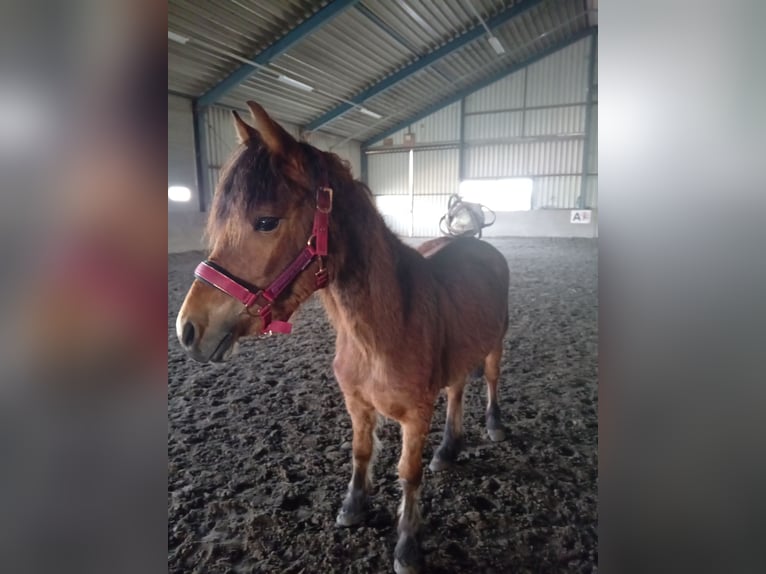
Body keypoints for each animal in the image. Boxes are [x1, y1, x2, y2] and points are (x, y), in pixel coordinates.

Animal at [176, 101, 510, 574]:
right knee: (458, 389)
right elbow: (360, 453)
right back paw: (448, 450)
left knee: (492, 379)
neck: (381, 333)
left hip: (496, 342)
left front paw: (408, 546)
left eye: (266, 221)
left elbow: (408, 472)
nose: (188, 329)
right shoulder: (356, 403)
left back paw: (494, 426)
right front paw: (353, 508)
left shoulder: (416, 415)